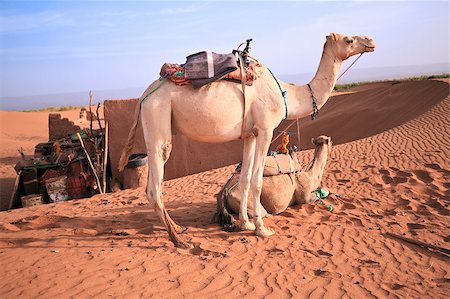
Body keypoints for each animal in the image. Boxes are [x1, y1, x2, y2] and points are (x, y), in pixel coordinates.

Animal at [118, 32, 374, 248]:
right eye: (349, 40)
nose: (371, 41)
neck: (286, 93)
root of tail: (143, 96)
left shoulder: (250, 134)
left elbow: (244, 179)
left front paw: (246, 223)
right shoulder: (266, 129)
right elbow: (257, 181)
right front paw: (262, 229)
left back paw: (178, 228)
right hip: (157, 118)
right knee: (154, 185)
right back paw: (178, 239)